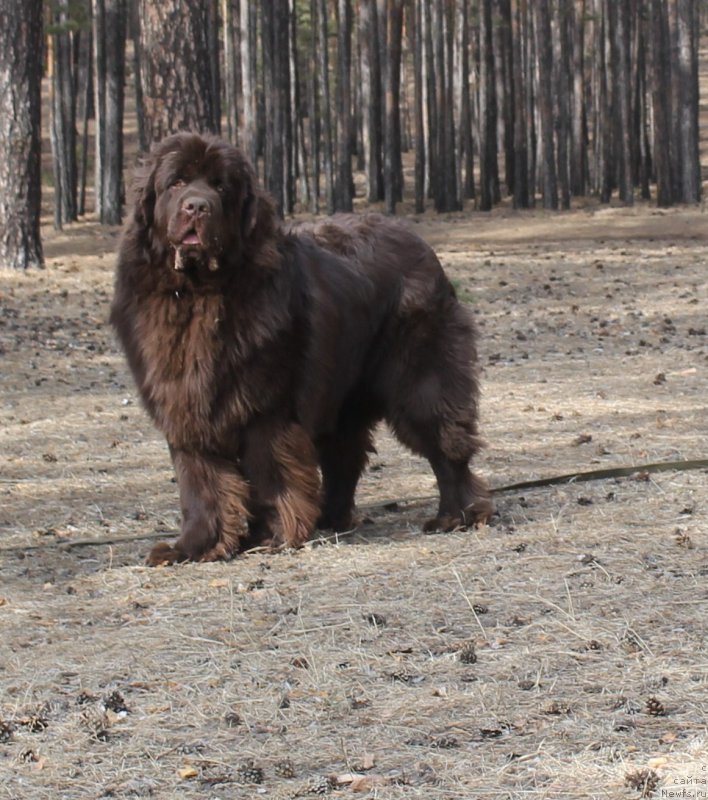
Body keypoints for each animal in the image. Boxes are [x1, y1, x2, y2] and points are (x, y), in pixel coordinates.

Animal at [109, 131, 492, 564]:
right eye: (176, 183)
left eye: (221, 187)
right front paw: (194, 547)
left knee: (445, 444)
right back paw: (330, 517)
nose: (197, 206)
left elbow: (269, 471)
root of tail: (420, 243)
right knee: (345, 454)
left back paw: (456, 514)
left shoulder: (266, 407)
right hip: (342, 390)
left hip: (420, 377)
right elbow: (199, 482)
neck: (199, 294)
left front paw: (272, 534)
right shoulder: (186, 405)